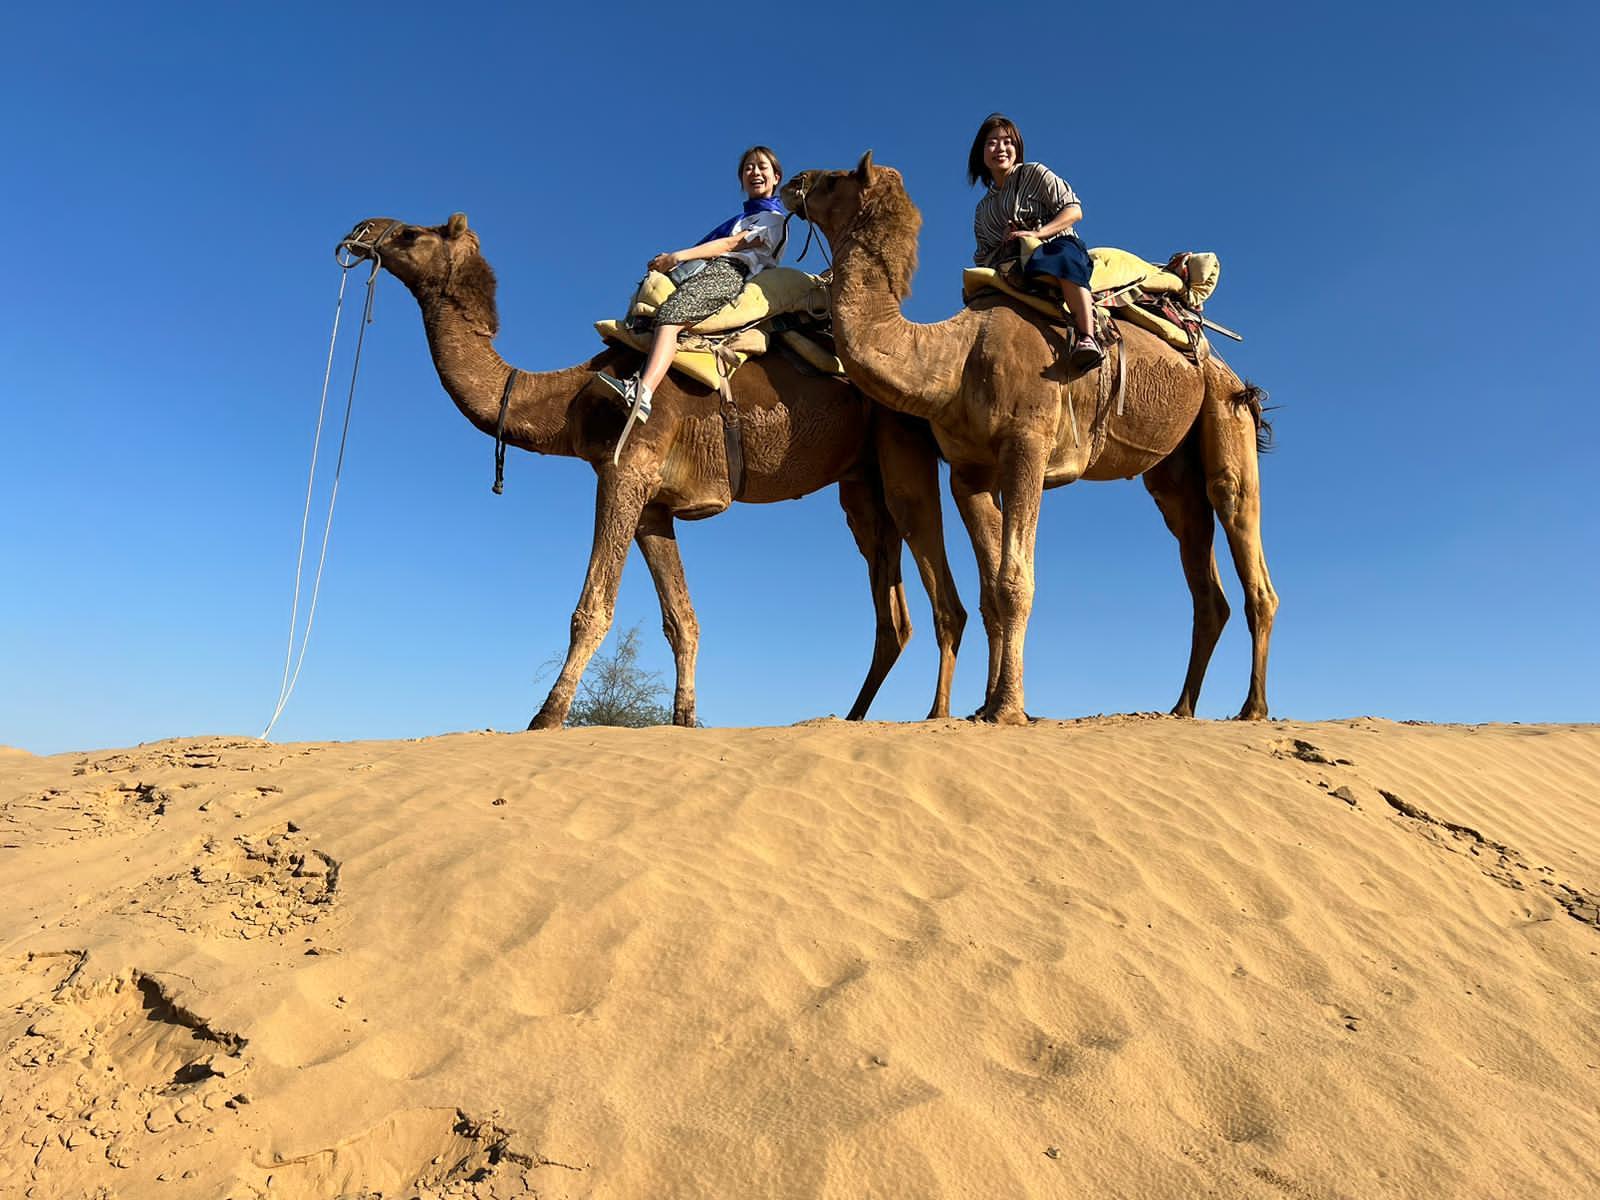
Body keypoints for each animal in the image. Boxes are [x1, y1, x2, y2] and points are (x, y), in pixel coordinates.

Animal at [335, 213, 966, 730]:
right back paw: (852, 717)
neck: (570, 397)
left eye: (411, 234)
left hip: (902, 448)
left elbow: (593, 608)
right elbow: (681, 618)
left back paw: (938, 715)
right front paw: (684, 719)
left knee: (939, 587)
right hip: (860, 486)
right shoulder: (655, 506)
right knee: (891, 609)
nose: (360, 231)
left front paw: (545, 718)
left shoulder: (623, 472)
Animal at [781, 156, 1278, 725]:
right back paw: (1181, 708)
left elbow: (1015, 581)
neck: (955, 357)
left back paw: (1253, 708)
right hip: (1171, 470)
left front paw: (1008, 711)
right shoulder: (968, 472)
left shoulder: (1028, 445)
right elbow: (991, 591)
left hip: (1225, 409)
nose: (794, 182)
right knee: (1198, 557)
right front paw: (985, 707)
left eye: (835, 179)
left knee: (1239, 519)